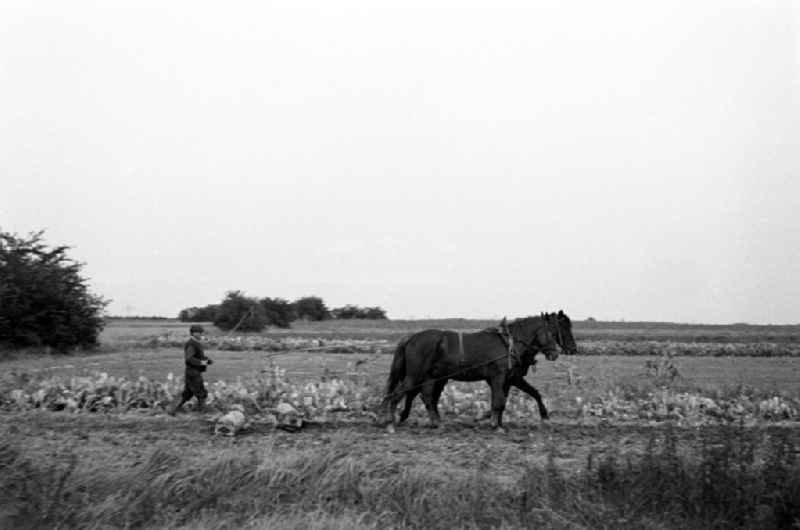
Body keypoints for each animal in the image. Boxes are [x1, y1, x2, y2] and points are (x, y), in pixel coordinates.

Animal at [380, 310, 576, 428]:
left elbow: (509, 399)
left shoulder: (507, 379)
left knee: (425, 396)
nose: (557, 353)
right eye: (554, 331)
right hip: (415, 375)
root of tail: (411, 337)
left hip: (431, 376)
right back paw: (391, 420)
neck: (509, 344)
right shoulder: (500, 377)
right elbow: (500, 401)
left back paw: (434, 421)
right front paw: (495, 425)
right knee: (400, 393)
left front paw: (494, 421)